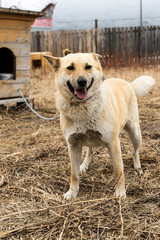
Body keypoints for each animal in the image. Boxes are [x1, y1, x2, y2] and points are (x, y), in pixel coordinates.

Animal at [42, 52, 155, 201]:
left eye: (88, 67)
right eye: (70, 68)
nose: (82, 81)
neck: (82, 106)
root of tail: (127, 83)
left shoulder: (113, 143)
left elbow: (118, 171)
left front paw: (120, 192)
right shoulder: (73, 145)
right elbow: (74, 174)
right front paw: (72, 192)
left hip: (135, 133)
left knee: (135, 152)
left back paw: (137, 168)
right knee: (90, 151)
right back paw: (84, 164)